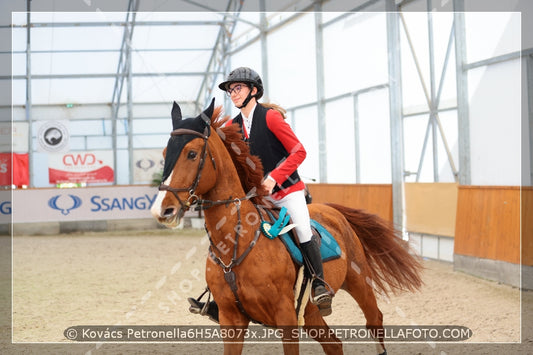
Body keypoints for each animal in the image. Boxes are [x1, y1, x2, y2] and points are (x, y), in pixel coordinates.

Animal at [150, 98, 420, 355]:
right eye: (164, 153)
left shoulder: (286, 316)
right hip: (311, 314)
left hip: (358, 282)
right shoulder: (231, 320)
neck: (237, 244)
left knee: (374, 320)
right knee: (334, 345)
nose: (162, 210)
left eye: (192, 154)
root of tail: (333, 211)